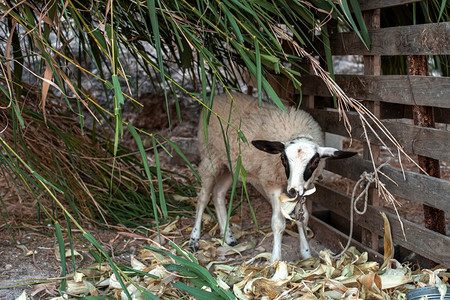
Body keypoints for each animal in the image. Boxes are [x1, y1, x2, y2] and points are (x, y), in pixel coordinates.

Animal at [188, 92, 356, 262]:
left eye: (315, 162)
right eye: (282, 158)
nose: (292, 192)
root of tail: (218, 96)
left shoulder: (303, 188)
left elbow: (303, 218)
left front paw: (307, 253)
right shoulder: (272, 184)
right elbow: (278, 223)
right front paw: (275, 260)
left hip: (231, 165)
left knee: (218, 194)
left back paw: (228, 237)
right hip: (210, 156)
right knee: (203, 197)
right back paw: (194, 239)